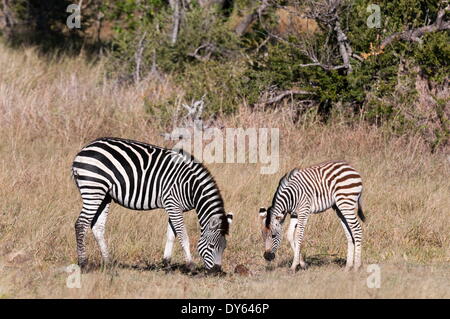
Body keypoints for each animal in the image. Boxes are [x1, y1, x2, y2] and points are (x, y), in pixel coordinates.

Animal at [72, 137, 234, 272]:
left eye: (224, 247)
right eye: (211, 246)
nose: (217, 271)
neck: (191, 186)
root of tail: (83, 151)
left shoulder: (174, 207)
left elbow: (171, 235)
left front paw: (166, 263)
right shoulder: (173, 204)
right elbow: (183, 236)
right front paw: (190, 265)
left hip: (104, 195)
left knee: (97, 227)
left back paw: (108, 262)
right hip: (93, 188)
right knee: (81, 224)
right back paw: (84, 264)